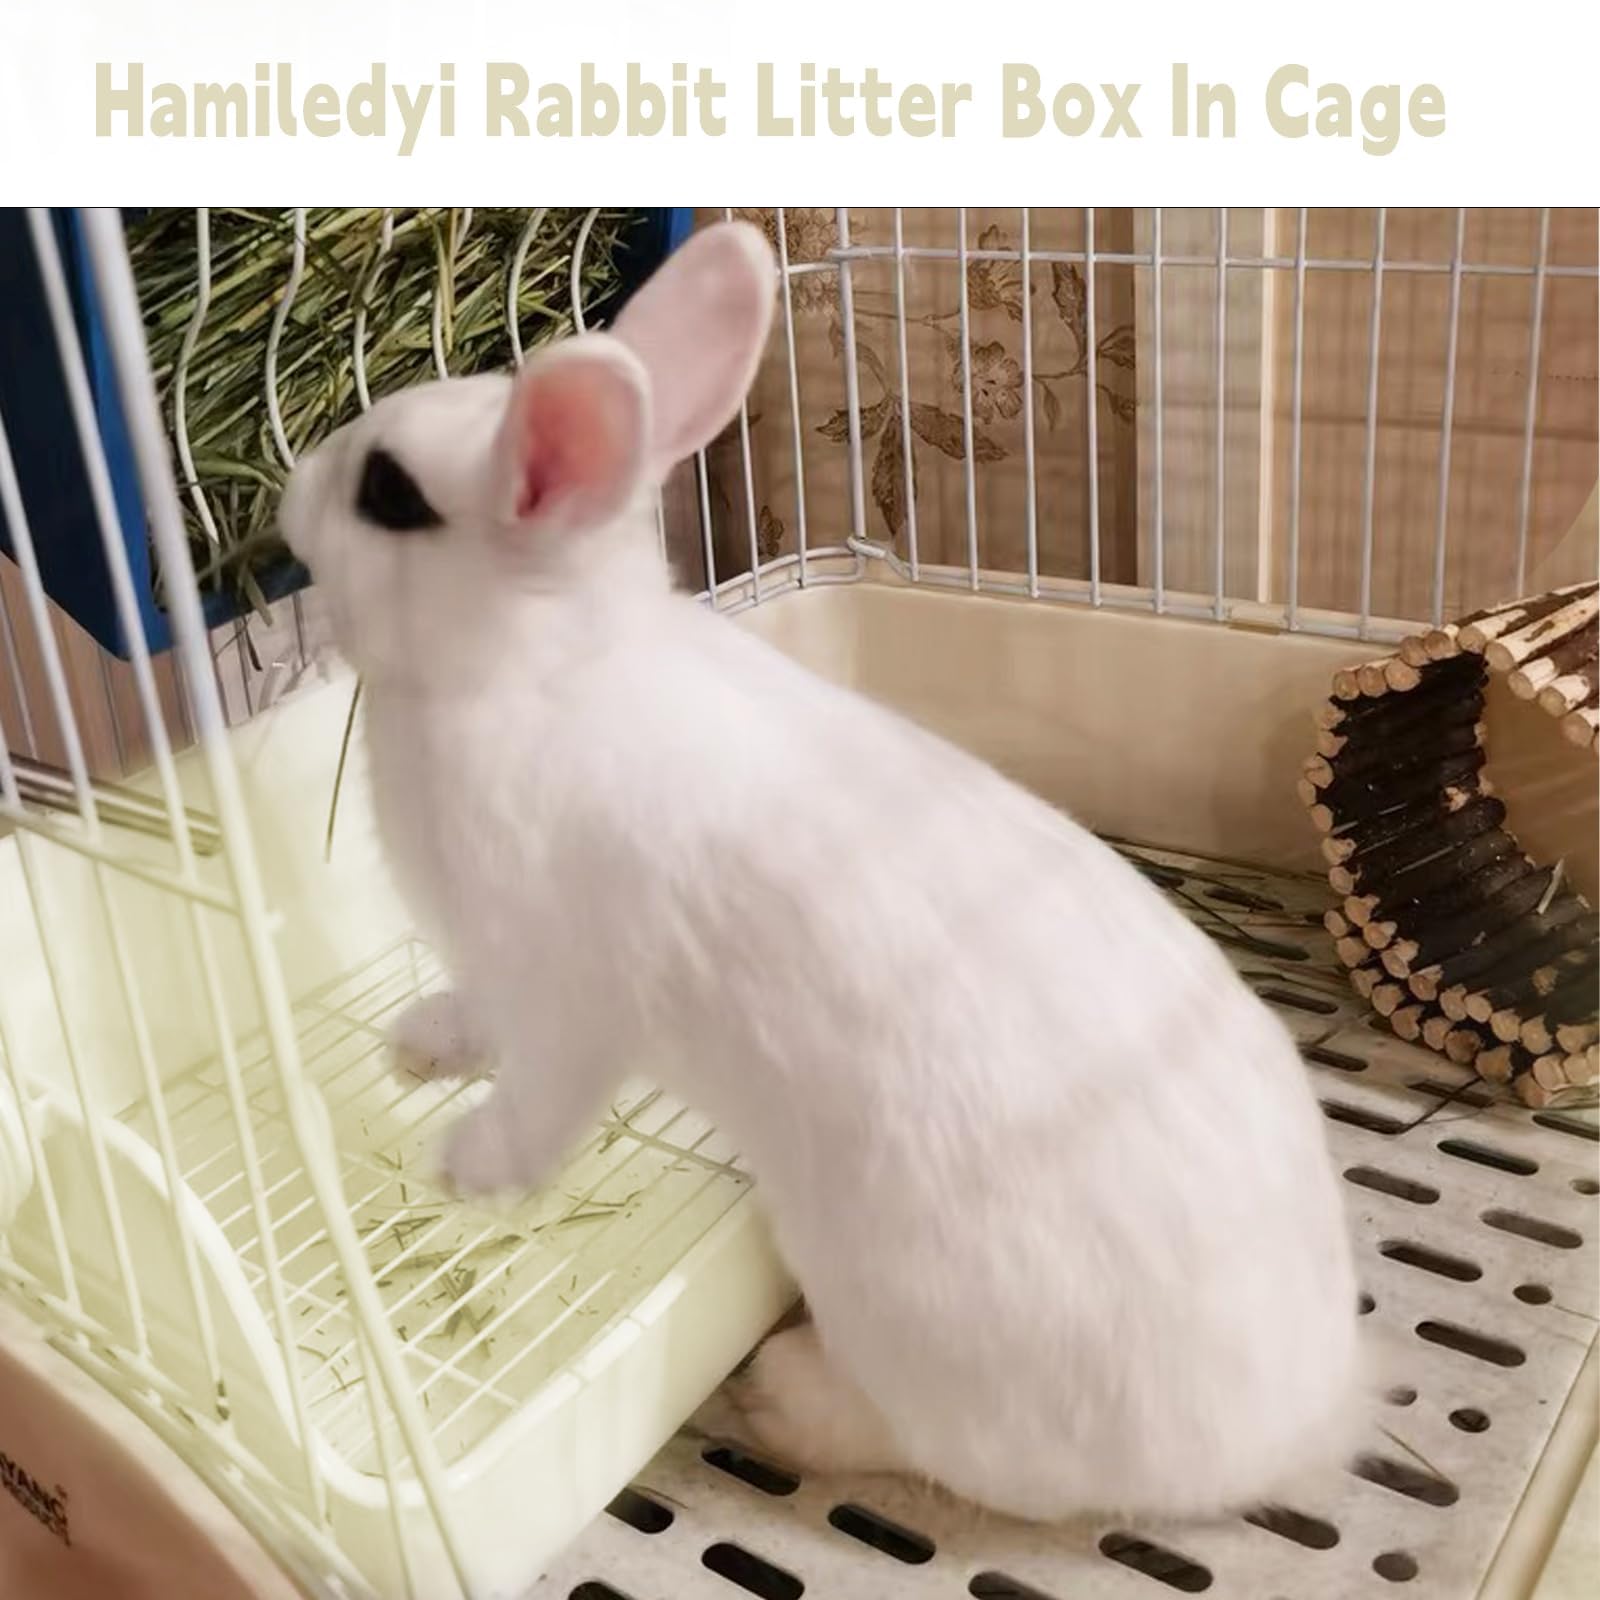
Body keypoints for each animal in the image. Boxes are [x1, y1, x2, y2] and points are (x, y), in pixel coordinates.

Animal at [278, 219, 1368, 1523]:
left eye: (388, 494)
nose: (289, 497)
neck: (532, 672)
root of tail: (1287, 1429)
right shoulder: (492, 969)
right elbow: (468, 1017)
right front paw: (417, 1047)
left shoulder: (567, 1007)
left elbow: (538, 1109)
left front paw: (462, 1166)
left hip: (916, 1323)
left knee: (931, 1444)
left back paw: (780, 1398)